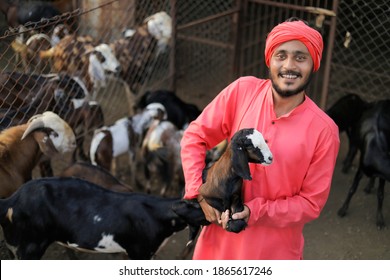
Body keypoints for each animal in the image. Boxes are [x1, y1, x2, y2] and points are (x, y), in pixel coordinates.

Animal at [336, 99, 390, 229]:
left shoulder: (382, 176)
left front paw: (380, 219)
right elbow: (352, 188)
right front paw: (343, 210)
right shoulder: (361, 168)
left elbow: (380, 194)